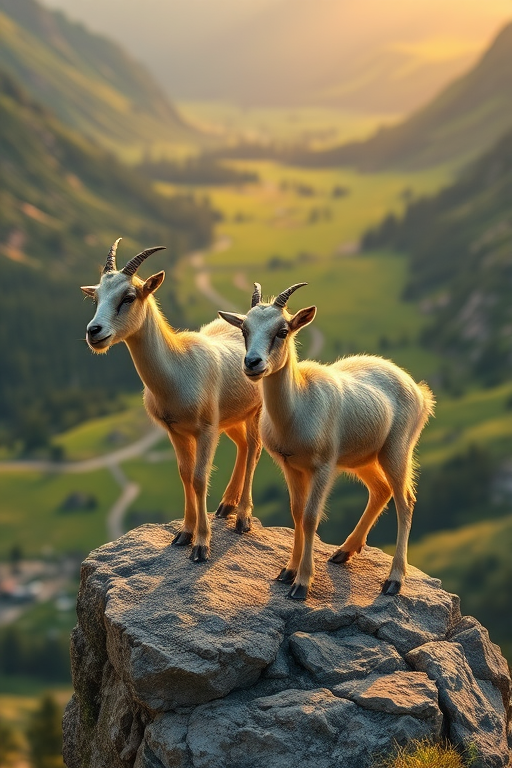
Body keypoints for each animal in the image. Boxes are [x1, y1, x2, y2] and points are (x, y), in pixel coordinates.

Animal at [81, 239, 262, 561]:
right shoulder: (176, 430)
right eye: (97, 297)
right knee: (243, 446)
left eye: (129, 297)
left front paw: (201, 546)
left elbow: (200, 478)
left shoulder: (206, 429)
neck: (177, 368)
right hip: (230, 417)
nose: (94, 332)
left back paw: (242, 518)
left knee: (254, 448)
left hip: (255, 410)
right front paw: (183, 535)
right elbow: (185, 475)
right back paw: (226, 506)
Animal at [219, 282, 434, 598]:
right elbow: (297, 513)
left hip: (397, 450)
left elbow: (311, 517)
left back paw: (394, 581)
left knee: (405, 500)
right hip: (362, 458)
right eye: (244, 329)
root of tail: (418, 390)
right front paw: (288, 571)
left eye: (283, 331)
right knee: (380, 490)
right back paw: (343, 552)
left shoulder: (323, 467)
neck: (298, 405)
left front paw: (302, 584)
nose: (252, 363)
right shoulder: (290, 465)